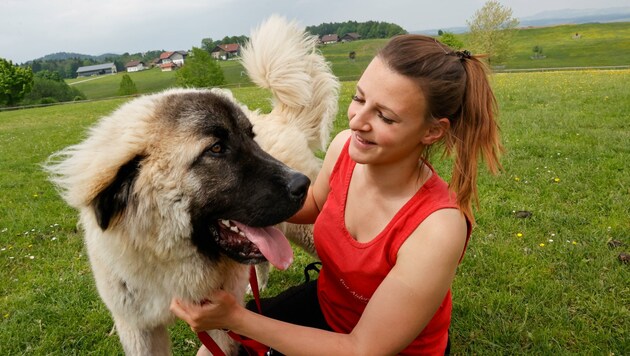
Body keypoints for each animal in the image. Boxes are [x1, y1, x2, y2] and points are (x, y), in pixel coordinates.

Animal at [45, 15, 340, 354]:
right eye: (216, 148)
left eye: (251, 138)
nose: (301, 185)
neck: (167, 261)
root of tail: (281, 120)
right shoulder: (138, 327)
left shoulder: (222, 322)